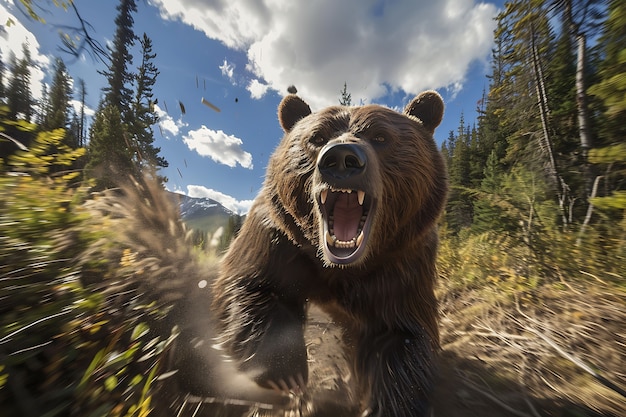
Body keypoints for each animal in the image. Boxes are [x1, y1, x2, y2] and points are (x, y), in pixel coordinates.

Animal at [212, 89, 446, 414]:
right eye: (317, 137)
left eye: (381, 136)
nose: (342, 158)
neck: (338, 267)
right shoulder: (278, 238)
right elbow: (249, 283)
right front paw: (286, 370)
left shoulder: (403, 261)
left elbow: (402, 335)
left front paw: (387, 403)